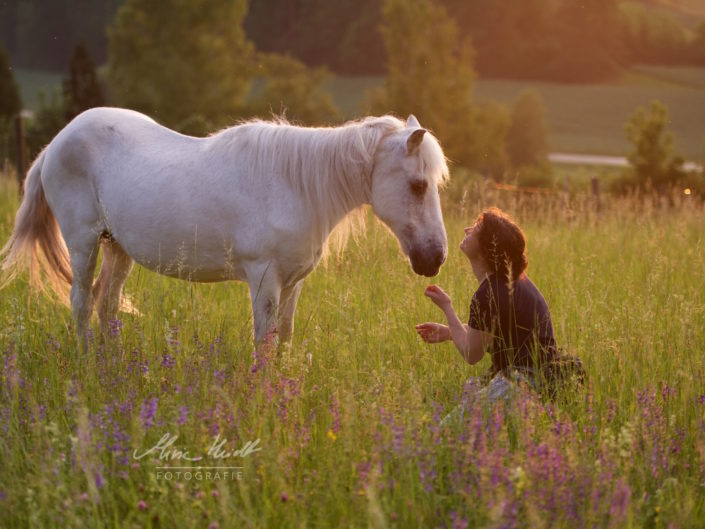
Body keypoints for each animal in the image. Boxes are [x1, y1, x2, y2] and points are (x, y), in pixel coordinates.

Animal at [0, 105, 448, 348]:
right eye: (418, 185)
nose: (435, 258)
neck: (295, 185)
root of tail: (57, 143)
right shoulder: (264, 280)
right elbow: (264, 343)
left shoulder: (293, 283)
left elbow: (283, 340)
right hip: (84, 243)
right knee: (80, 303)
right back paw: (88, 365)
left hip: (118, 248)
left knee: (106, 304)